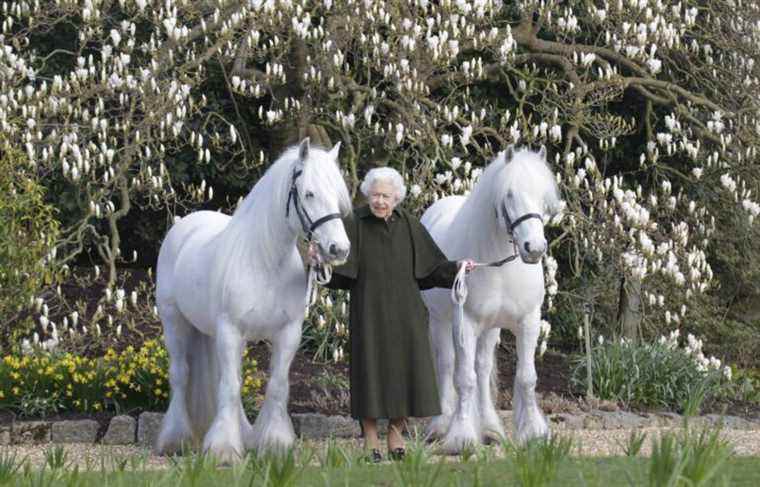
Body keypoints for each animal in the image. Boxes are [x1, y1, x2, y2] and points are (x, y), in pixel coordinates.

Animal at [157, 137, 354, 462]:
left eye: (338, 195)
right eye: (309, 193)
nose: (338, 249)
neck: (265, 262)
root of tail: (186, 224)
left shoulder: (288, 333)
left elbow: (275, 386)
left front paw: (274, 444)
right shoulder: (230, 330)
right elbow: (229, 387)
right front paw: (224, 450)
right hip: (175, 322)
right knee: (180, 376)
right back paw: (176, 439)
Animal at [418, 145, 560, 454]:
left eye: (543, 196)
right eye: (509, 195)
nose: (534, 248)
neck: (500, 265)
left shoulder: (528, 321)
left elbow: (526, 378)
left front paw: (533, 433)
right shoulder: (466, 324)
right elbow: (464, 379)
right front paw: (461, 438)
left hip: (490, 328)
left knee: (482, 369)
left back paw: (491, 429)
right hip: (440, 321)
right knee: (447, 365)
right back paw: (441, 425)